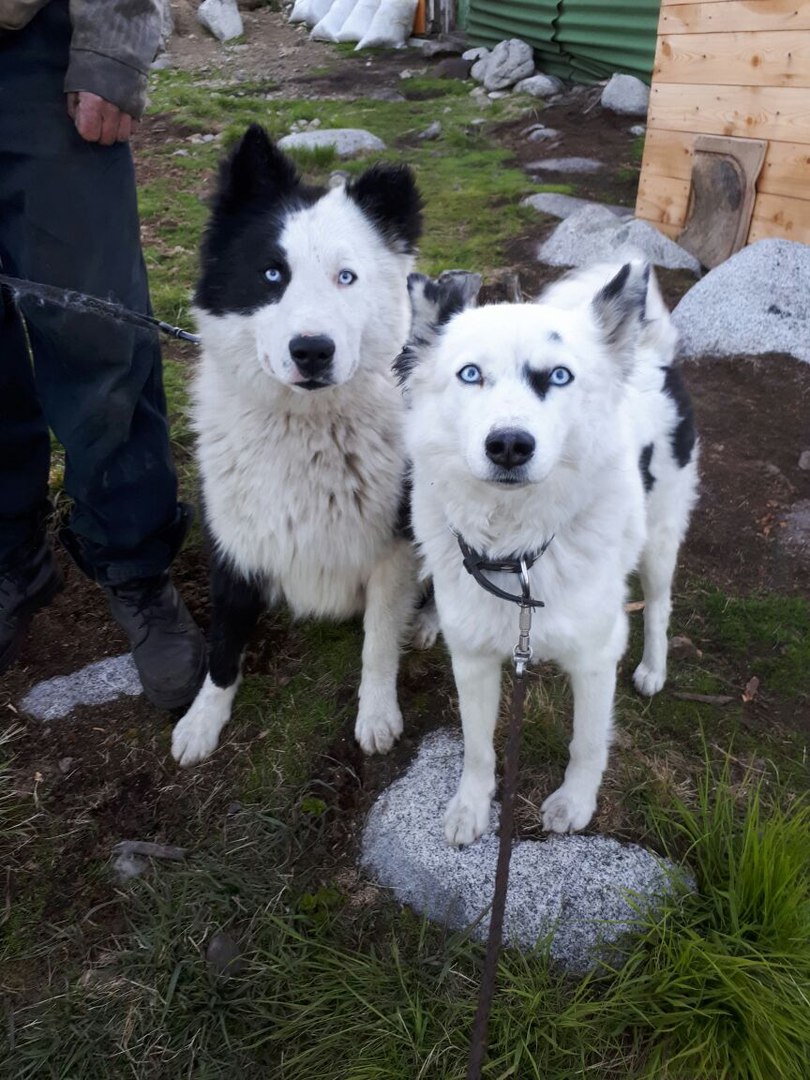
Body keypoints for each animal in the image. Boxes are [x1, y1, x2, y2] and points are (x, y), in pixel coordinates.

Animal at [171, 126, 425, 768]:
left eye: (346, 277)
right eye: (271, 275)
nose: (312, 350)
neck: (304, 427)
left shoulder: (392, 545)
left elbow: (379, 641)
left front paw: (376, 714)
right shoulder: (233, 540)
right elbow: (223, 644)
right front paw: (203, 719)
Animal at [399, 259, 699, 842]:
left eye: (559, 376)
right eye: (470, 374)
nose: (509, 445)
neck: (517, 550)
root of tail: (651, 353)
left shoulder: (596, 655)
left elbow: (587, 741)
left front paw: (575, 802)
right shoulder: (472, 657)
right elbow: (477, 747)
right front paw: (471, 805)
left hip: (660, 537)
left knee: (659, 605)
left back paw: (653, 668)